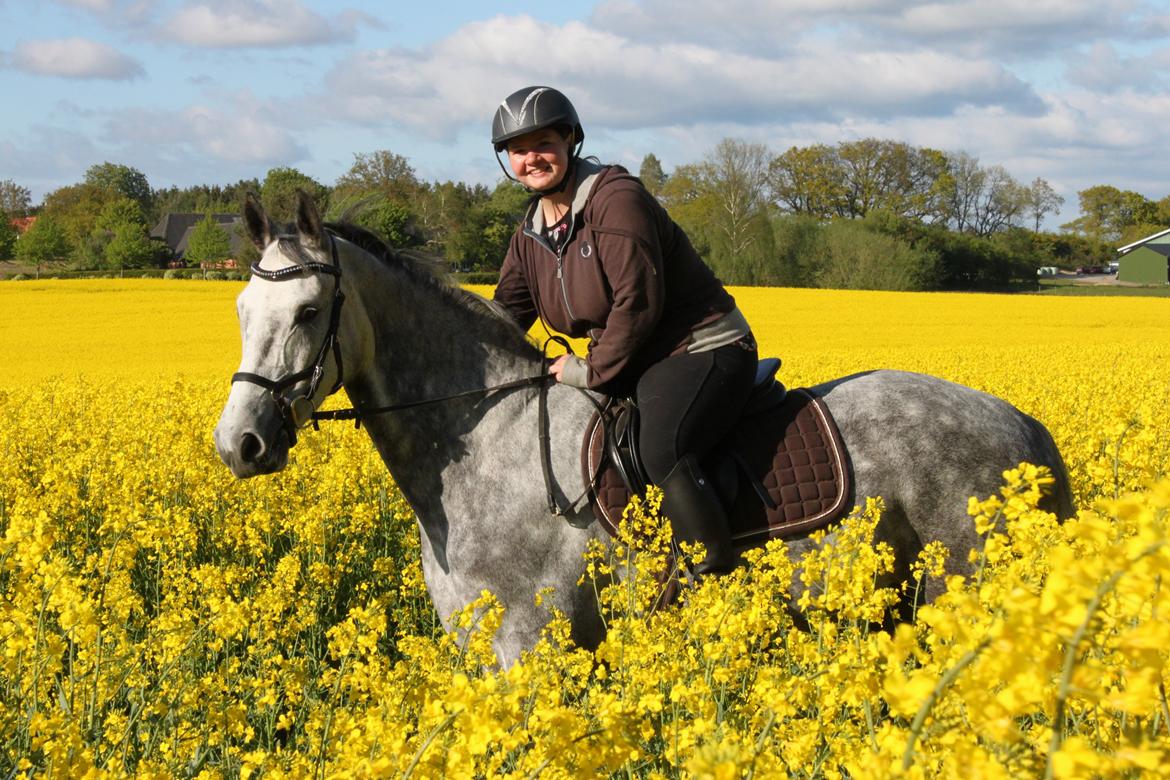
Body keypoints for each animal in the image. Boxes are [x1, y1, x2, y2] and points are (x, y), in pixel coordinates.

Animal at [215, 191, 1071, 668]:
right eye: (242, 309)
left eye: (309, 312)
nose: (240, 445)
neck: (484, 444)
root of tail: (1021, 425)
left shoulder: (530, 646)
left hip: (961, 594)